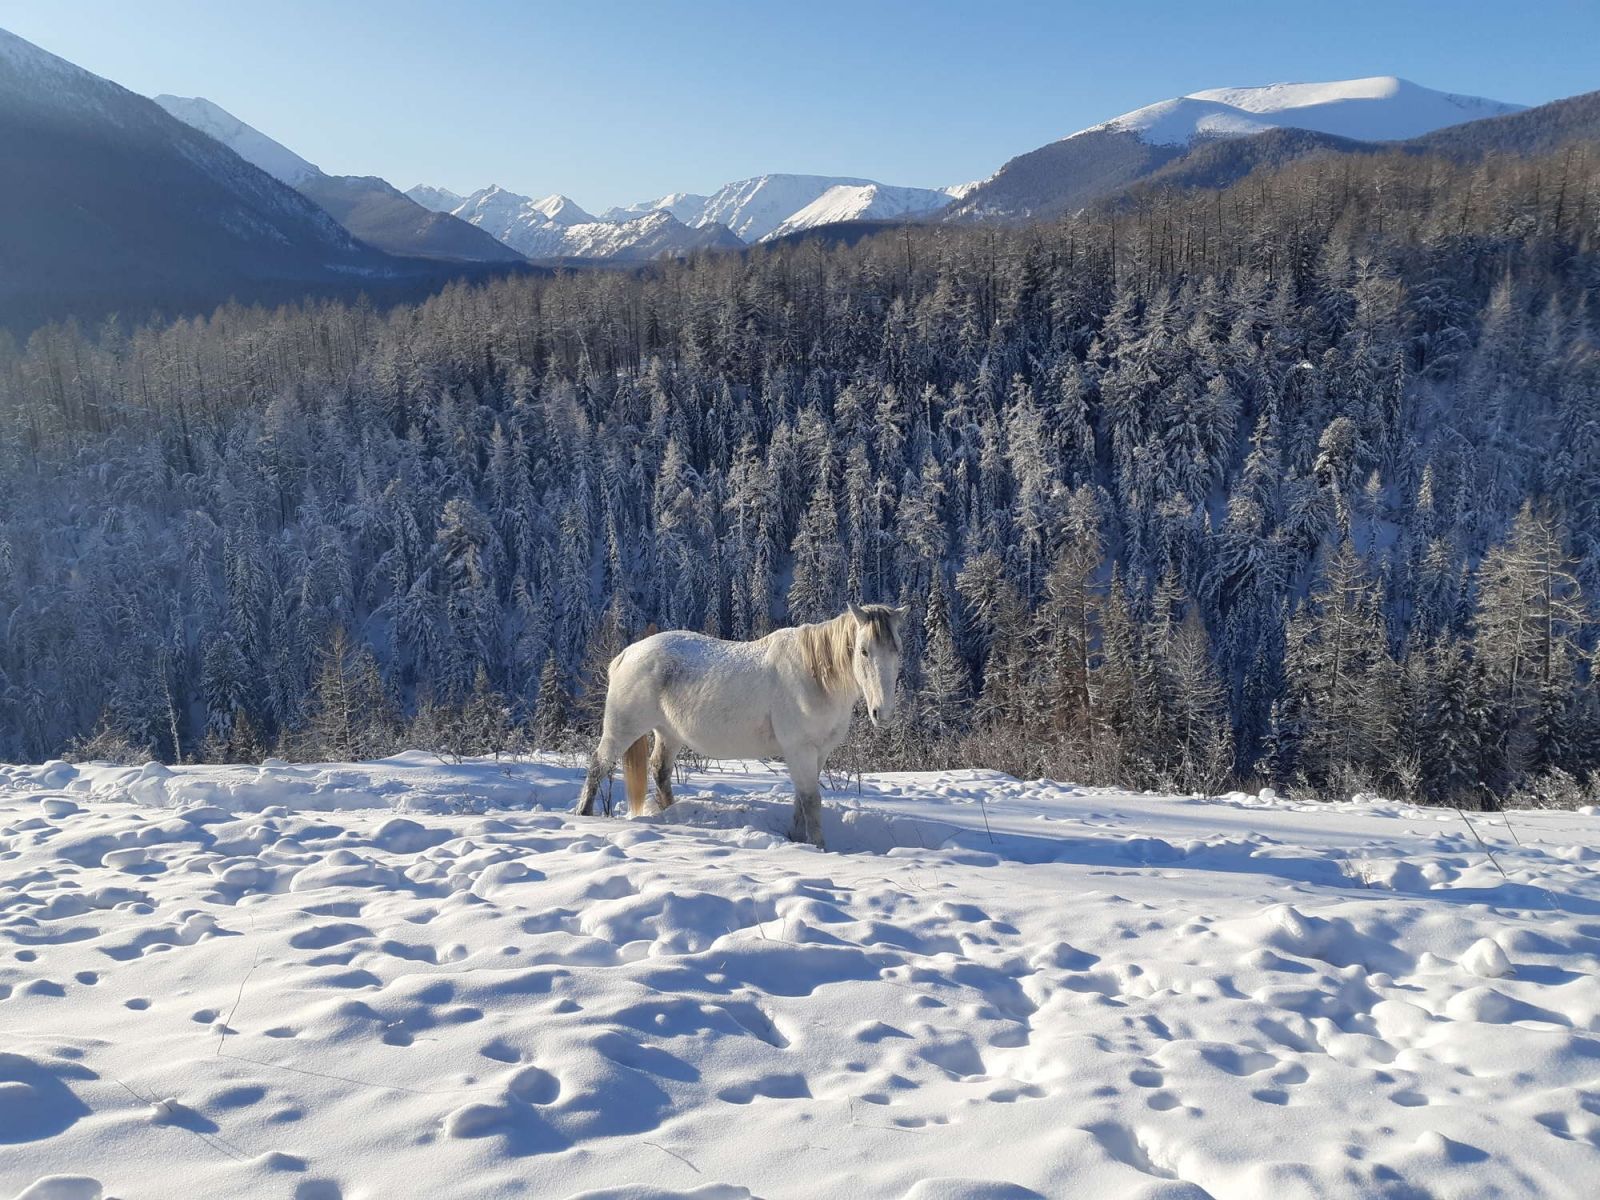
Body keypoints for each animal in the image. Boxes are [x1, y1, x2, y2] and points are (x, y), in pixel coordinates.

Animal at [576, 604, 908, 851]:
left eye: (897, 650)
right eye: (863, 650)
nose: (883, 713)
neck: (815, 677)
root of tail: (626, 655)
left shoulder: (818, 752)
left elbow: (801, 798)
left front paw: (797, 838)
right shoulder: (799, 750)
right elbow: (811, 800)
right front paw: (818, 846)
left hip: (668, 732)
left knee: (659, 769)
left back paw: (671, 813)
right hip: (622, 729)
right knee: (598, 765)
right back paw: (584, 814)